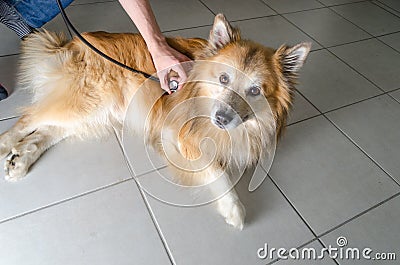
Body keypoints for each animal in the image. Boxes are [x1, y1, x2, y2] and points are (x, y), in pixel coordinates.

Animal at [0, 13, 310, 229]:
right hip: (86, 101)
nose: (221, 118)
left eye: (255, 91)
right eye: (224, 78)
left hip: (95, 113)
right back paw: (6, 145)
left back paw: (20, 160)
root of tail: (74, 41)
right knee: (28, 118)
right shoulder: (178, 135)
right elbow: (215, 170)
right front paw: (233, 208)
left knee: (45, 132)